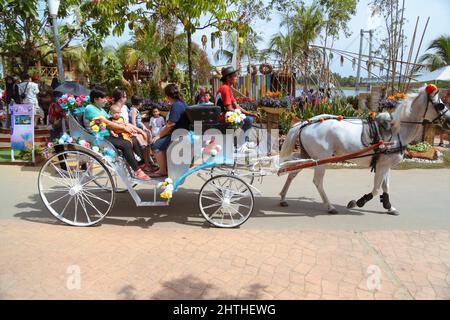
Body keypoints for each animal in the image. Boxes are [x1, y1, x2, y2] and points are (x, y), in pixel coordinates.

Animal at [280, 85, 448, 215]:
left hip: (309, 156)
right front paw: (358, 202)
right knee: (317, 182)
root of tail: (305, 123)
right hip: (321, 159)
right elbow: (376, 189)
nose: (448, 121)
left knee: (292, 172)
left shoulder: (385, 165)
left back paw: (282, 198)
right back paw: (329, 206)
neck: (396, 131)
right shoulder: (382, 166)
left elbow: (386, 187)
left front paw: (389, 206)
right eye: (440, 104)